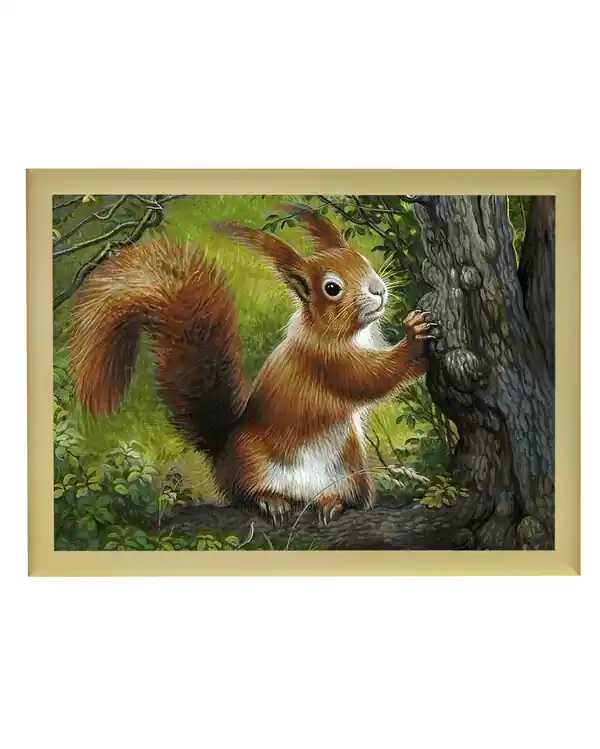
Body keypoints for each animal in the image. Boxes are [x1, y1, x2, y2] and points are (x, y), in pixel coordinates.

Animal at [69, 203, 438, 526]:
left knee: (348, 495)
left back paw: (332, 502)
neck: (343, 334)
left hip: (349, 470)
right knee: (244, 494)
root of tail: (223, 456)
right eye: (332, 288)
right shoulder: (323, 363)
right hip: (254, 463)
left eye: (362, 259)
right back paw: (269, 500)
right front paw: (414, 337)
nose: (378, 290)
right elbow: (369, 379)